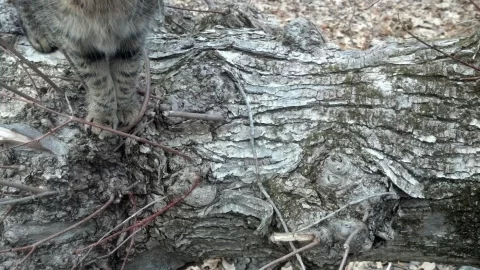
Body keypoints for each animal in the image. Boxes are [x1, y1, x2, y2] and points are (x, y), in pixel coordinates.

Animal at [12, 0, 158, 137]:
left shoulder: (134, 34)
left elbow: (126, 75)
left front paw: (126, 106)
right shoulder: (76, 39)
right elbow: (99, 81)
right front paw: (102, 116)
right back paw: (40, 34)